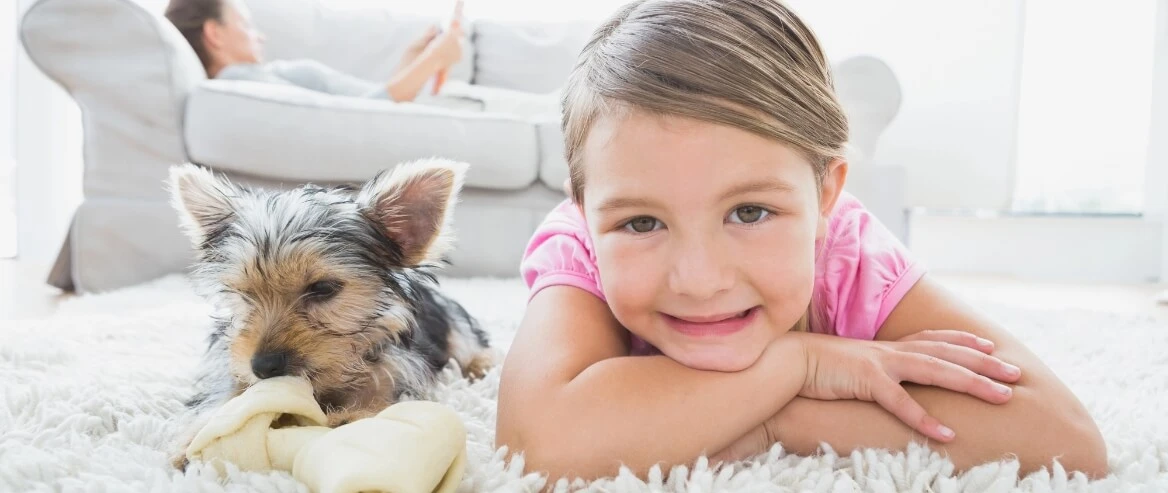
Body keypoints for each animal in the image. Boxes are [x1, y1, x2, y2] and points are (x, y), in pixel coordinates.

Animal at [167, 160, 490, 467]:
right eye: (244, 294)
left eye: (322, 288)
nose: (263, 366)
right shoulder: (229, 360)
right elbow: (225, 389)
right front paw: (197, 434)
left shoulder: (398, 367)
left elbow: (383, 393)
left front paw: (353, 416)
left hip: (452, 321)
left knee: (469, 343)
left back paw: (482, 365)